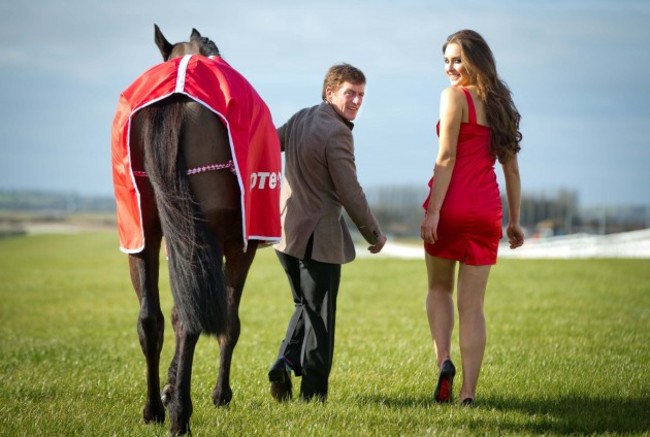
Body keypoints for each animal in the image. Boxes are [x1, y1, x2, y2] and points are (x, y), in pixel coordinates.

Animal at [113, 25, 278, 434]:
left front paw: (169, 389)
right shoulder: (239, 246)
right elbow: (229, 321)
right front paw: (218, 393)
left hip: (141, 234)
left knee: (151, 320)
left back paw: (155, 410)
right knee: (188, 319)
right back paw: (179, 416)